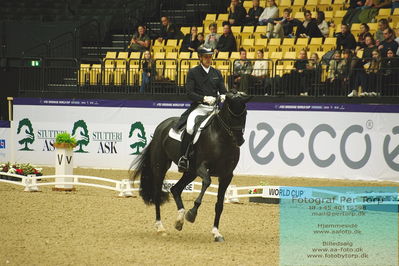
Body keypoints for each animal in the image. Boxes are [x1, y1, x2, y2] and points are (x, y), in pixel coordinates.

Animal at [131, 91, 252, 241]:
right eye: (230, 115)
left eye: (245, 113)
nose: (239, 141)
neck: (221, 138)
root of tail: (162, 126)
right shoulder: (202, 167)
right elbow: (207, 182)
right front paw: (192, 214)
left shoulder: (226, 176)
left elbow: (219, 205)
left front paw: (216, 233)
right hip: (161, 166)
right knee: (157, 193)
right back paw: (160, 227)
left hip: (190, 172)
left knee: (175, 189)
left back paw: (179, 220)